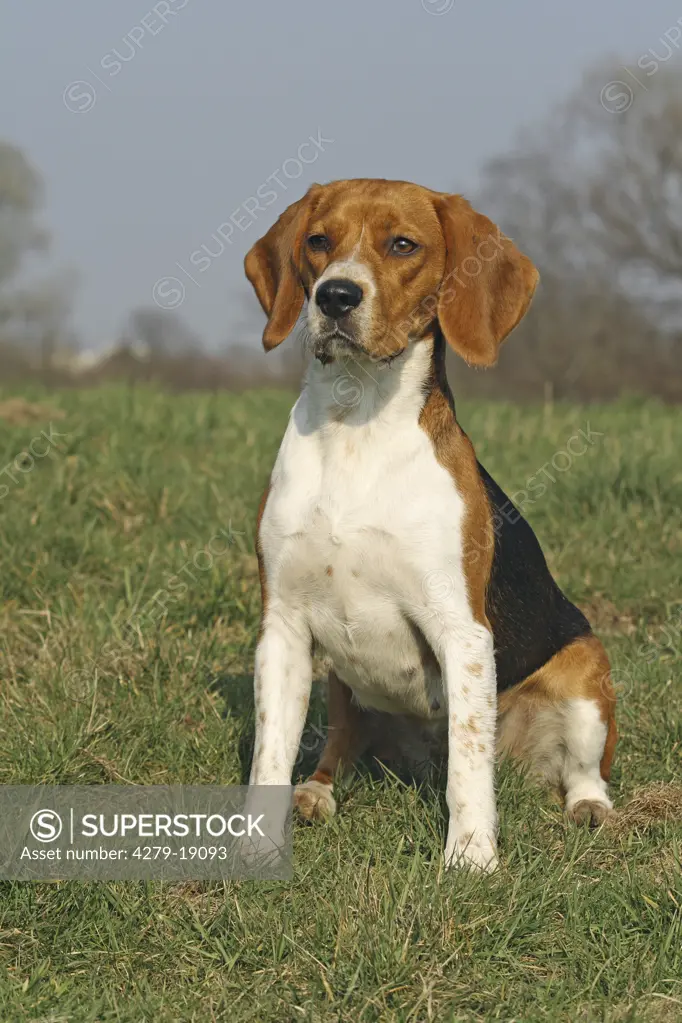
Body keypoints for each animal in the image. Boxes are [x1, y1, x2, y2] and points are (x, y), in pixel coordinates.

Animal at [242, 178, 617, 871]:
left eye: (402, 245)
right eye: (318, 241)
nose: (335, 295)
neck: (356, 419)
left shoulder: (462, 632)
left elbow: (468, 764)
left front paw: (470, 858)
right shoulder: (281, 627)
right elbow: (268, 756)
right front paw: (256, 849)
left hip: (585, 668)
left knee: (580, 772)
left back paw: (590, 808)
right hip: (341, 685)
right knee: (337, 750)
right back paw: (316, 792)